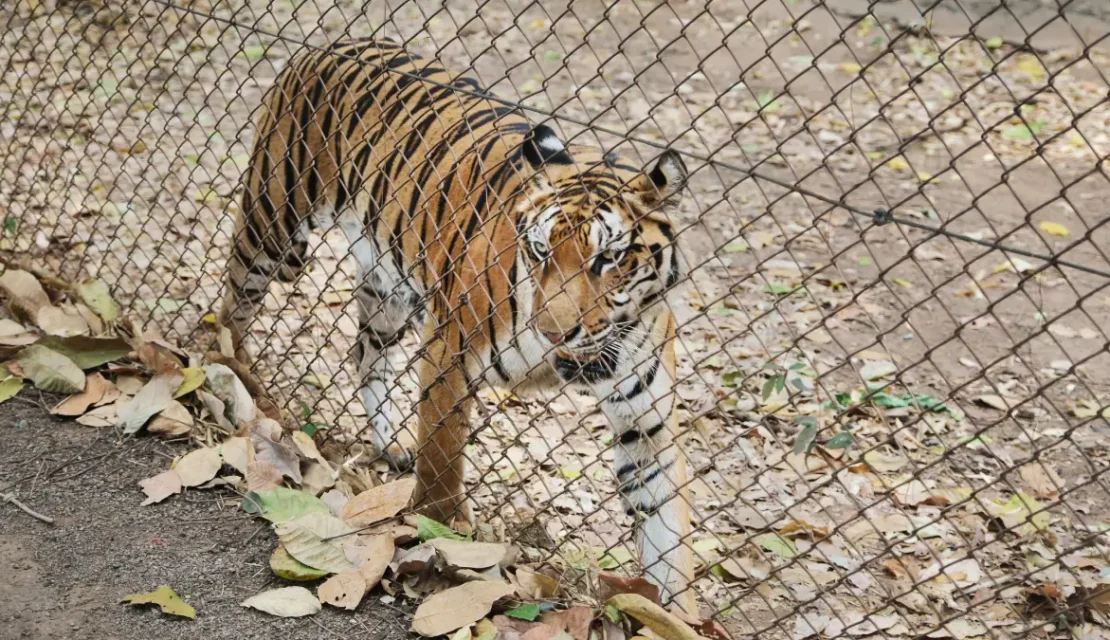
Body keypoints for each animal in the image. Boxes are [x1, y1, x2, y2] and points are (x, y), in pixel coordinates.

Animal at [216, 37, 697, 614]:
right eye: (540, 251)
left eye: (608, 259)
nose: (555, 333)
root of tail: (326, 44)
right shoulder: (451, 349)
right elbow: (443, 457)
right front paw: (443, 533)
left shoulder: (645, 420)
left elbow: (668, 532)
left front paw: (673, 613)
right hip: (274, 227)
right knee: (231, 306)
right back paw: (235, 375)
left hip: (389, 288)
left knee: (366, 355)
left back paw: (392, 442)